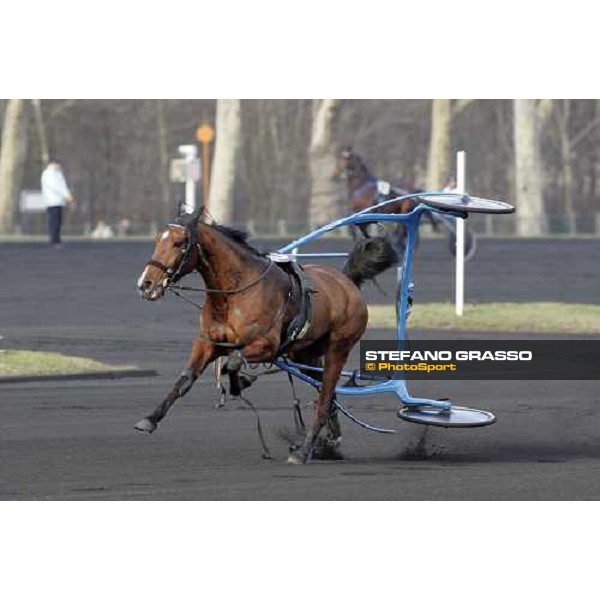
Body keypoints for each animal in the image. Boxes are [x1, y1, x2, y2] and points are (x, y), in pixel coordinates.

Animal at [136, 207, 398, 464]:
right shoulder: (208, 343)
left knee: (324, 399)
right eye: (159, 239)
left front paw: (239, 383)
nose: (146, 284)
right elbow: (186, 379)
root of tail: (346, 282)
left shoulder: (266, 346)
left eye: (180, 242)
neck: (236, 291)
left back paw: (303, 450)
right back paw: (330, 440)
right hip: (305, 355)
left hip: (338, 348)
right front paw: (150, 419)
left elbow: (233, 361)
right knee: (329, 394)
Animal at [332, 147, 474, 258]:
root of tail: (415, 191)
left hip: (406, 210)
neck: (361, 186)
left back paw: (399, 246)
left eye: (343, 159)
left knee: (401, 232)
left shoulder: (362, 209)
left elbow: (353, 227)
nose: (334, 174)